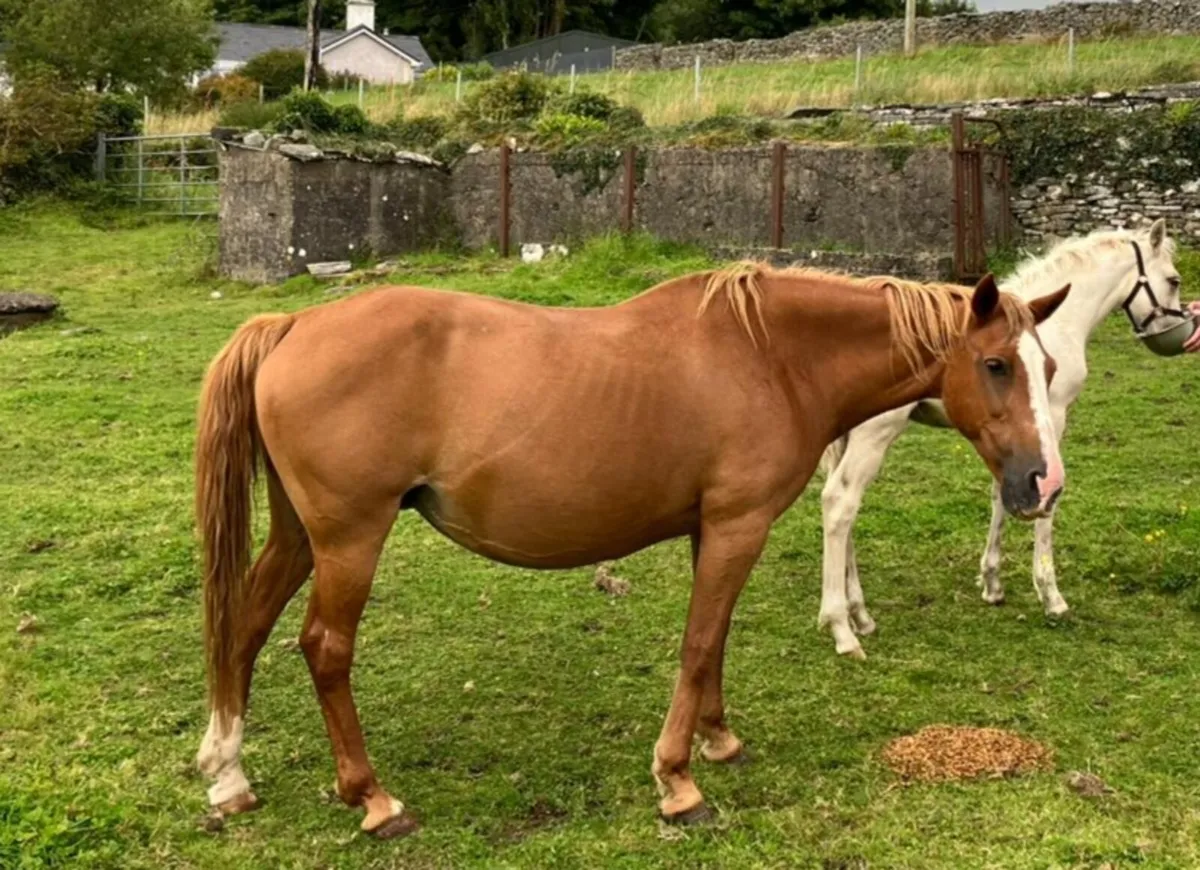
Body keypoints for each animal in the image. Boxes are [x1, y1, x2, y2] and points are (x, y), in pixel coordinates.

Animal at [193, 263, 1069, 837]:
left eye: (1048, 365)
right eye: (995, 365)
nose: (1044, 481)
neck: (772, 358)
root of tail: (293, 326)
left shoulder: (714, 530)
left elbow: (714, 643)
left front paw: (718, 740)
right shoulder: (738, 526)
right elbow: (698, 643)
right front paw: (678, 781)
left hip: (301, 536)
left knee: (243, 629)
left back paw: (229, 776)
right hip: (351, 538)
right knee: (323, 649)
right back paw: (373, 799)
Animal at [816, 218, 1182, 660]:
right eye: (1174, 280)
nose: (1175, 329)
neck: (1058, 325)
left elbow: (1002, 494)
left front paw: (992, 583)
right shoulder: (1053, 419)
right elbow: (1045, 503)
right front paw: (1051, 596)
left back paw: (860, 614)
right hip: (874, 436)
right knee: (841, 502)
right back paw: (843, 628)